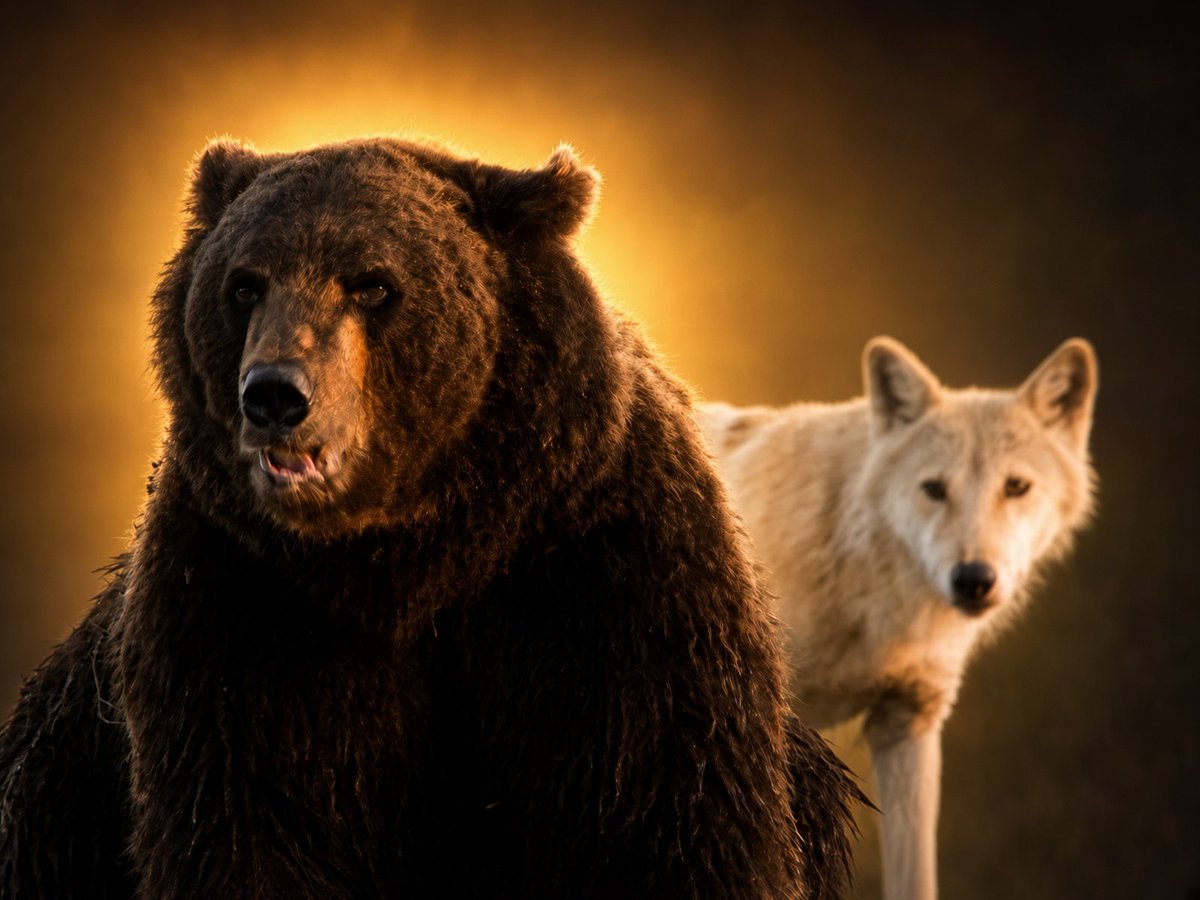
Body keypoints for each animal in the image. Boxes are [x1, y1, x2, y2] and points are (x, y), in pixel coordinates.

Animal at [0, 137, 857, 899]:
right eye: (244, 285)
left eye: (372, 284)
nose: (274, 393)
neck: (414, 557)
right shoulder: (240, 610)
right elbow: (245, 824)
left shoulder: (608, 578)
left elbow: (671, 814)